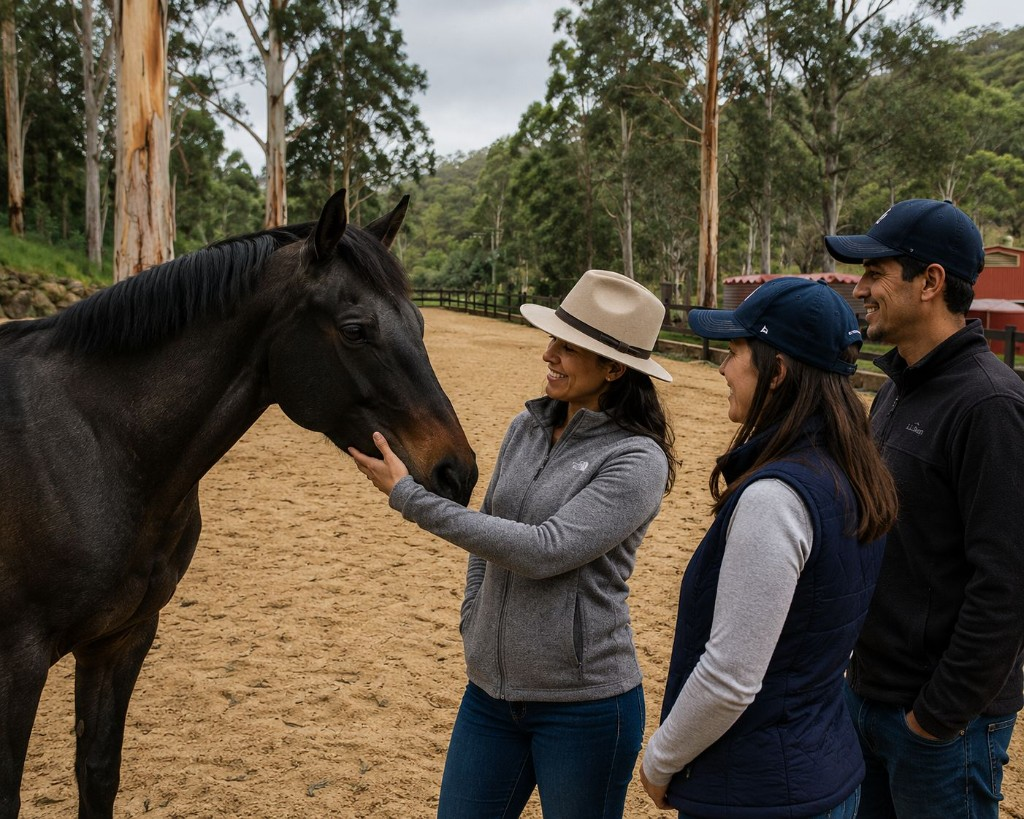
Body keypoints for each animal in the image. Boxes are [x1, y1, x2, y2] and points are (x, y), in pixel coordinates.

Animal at [0, 189, 478, 819]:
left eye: (420, 323)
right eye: (355, 330)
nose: (458, 471)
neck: (99, 442)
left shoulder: (120, 639)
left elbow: (97, 774)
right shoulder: (16, 662)